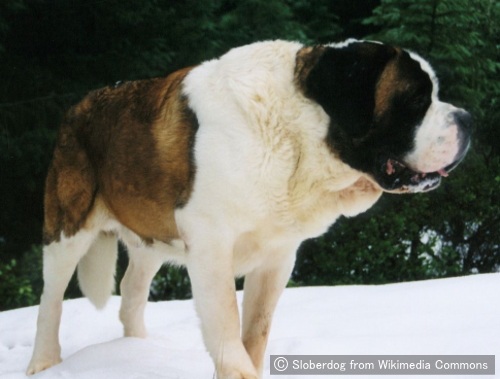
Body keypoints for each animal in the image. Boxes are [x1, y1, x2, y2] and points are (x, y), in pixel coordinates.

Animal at [29, 39, 470, 379]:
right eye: (416, 100)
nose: (467, 118)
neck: (295, 136)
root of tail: (78, 107)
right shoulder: (210, 248)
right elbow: (226, 322)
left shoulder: (277, 256)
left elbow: (256, 328)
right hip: (67, 228)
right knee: (51, 299)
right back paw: (44, 362)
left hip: (151, 237)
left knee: (131, 291)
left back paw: (137, 351)